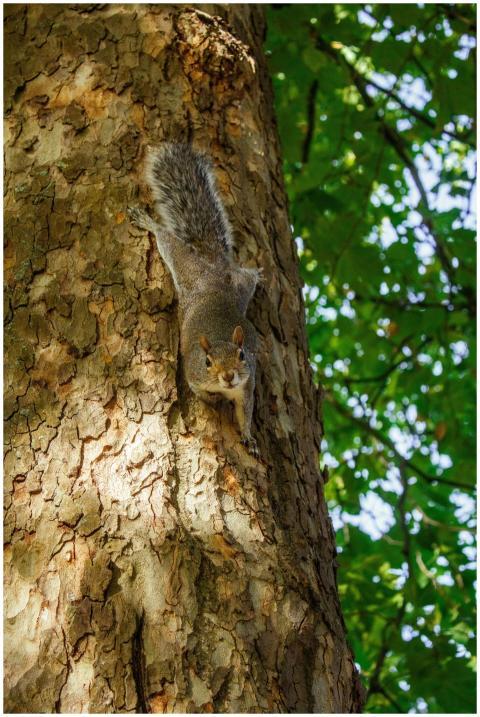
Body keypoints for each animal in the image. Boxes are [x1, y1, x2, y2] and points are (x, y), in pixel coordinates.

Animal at [128, 143, 261, 456]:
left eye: (241, 355)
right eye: (208, 361)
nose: (228, 376)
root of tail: (213, 273)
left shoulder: (247, 384)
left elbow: (246, 412)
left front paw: (248, 437)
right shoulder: (194, 373)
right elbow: (200, 392)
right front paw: (214, 400)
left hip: (239, 286)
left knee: (246, 276)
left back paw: (257, 273)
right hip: (184, 266)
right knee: (168, 240)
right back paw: (148, 222)